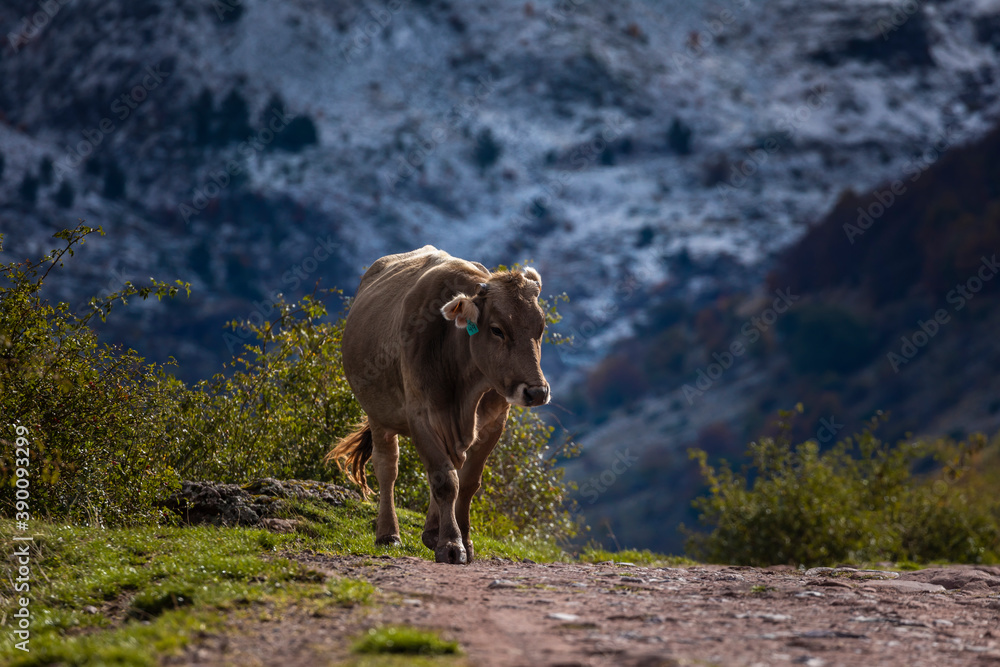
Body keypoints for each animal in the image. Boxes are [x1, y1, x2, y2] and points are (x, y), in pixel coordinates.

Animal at [327, 246, 550, 564]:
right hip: (378, 414)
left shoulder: (495, 422)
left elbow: (466, 482)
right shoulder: (421, 415)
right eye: (497, 329)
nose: (537, 392)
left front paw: (463, 540)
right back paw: (388, 534)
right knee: (387, 468)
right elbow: (445, 480)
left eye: (540, 328)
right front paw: (451, 544)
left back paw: (431, 531)